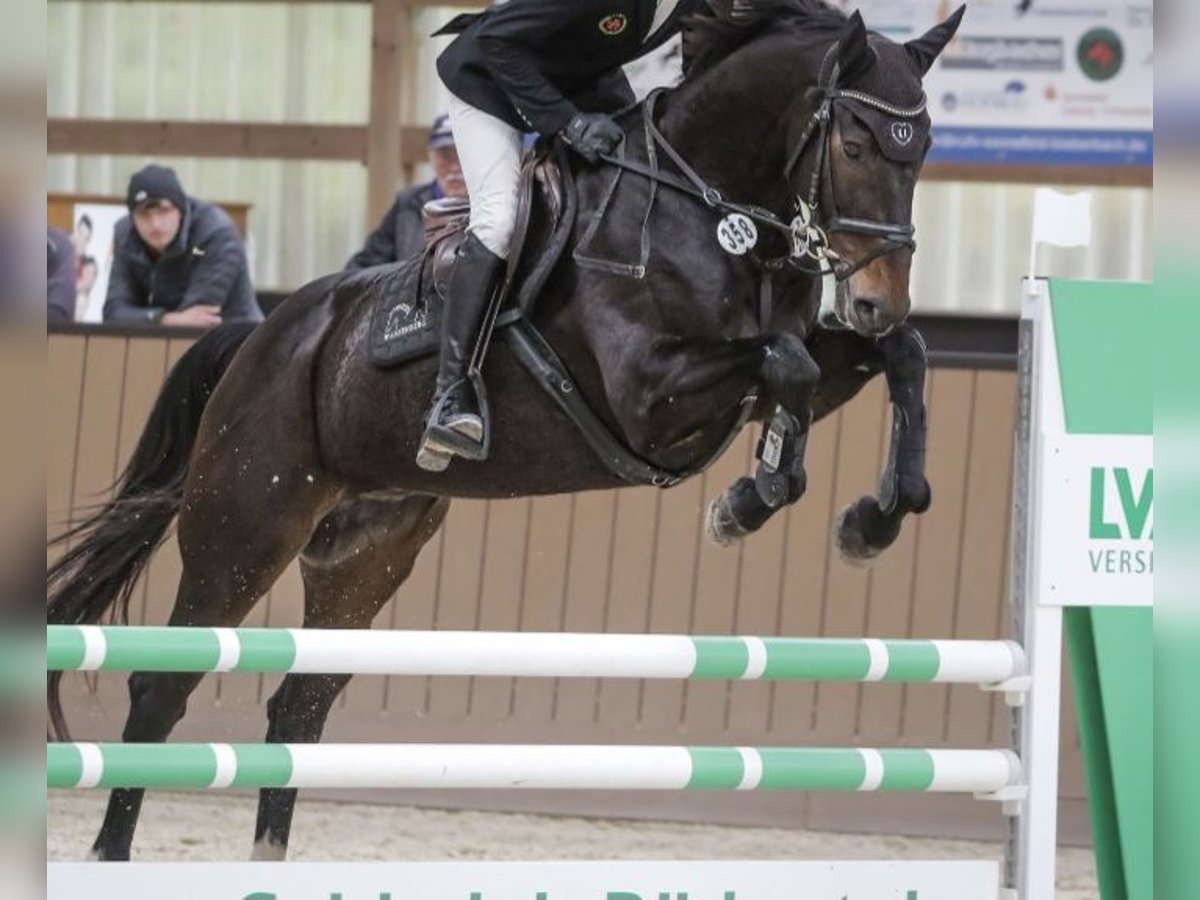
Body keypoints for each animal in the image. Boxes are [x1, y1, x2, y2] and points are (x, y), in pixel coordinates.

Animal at [47, 0, 963, 861]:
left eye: (920, 150)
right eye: (855, 144)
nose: (877, 296)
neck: (705, 209)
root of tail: (259, 336)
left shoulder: (795, 362)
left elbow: (891, 358)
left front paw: (869, 519)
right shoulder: (651, 396)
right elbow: (788, 366)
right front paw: (748, 500)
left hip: (365, 552)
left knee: (301, 705)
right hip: (245, 526)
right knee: (162, 690)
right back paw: (110, 854)